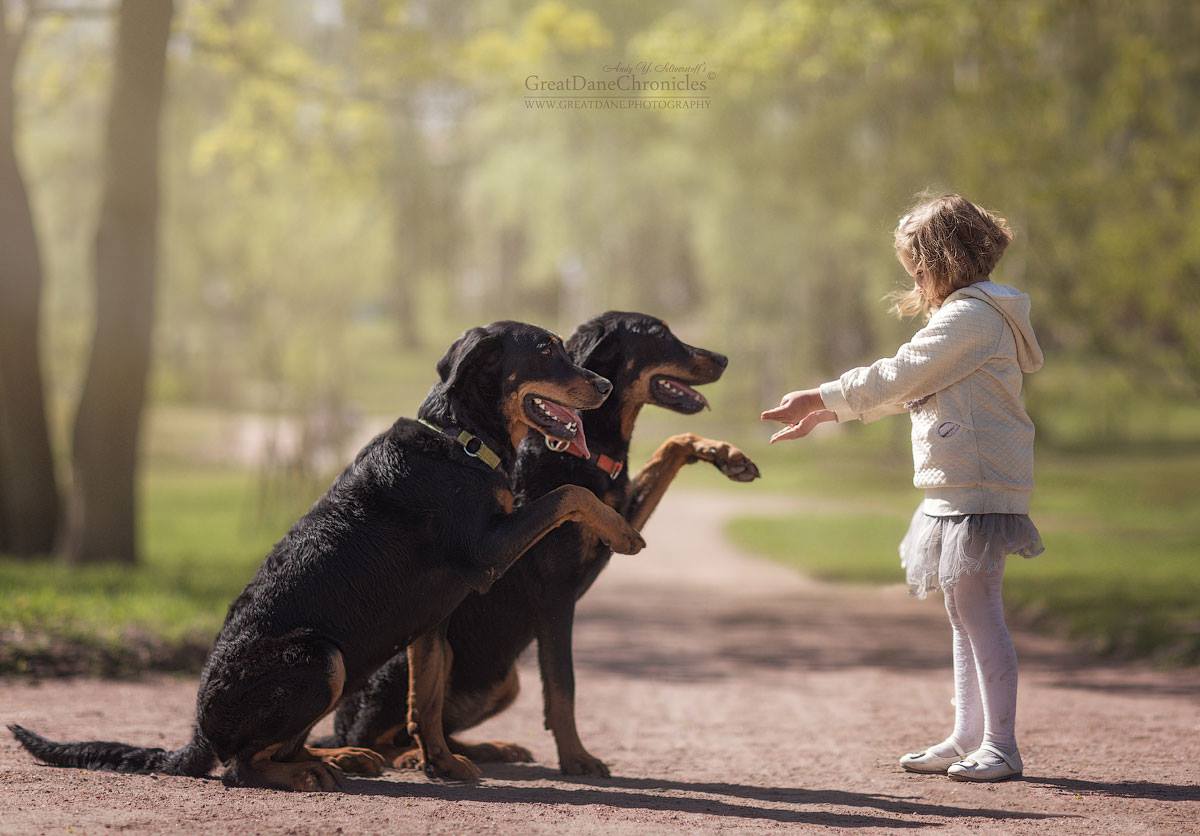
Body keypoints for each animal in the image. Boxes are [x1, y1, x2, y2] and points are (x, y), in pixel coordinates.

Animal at [9, 319, 648, 786]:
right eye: (546, 350)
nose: (605, 387)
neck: (461, 444)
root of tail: (195, 737)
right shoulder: (489, 550)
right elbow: (569, 494)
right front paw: (622, 530)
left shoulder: (433, 621)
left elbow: (426, 700)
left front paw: (441, 764)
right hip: (322, 658)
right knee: (242, 768)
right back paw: (311, 773)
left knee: (285, 747)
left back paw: (339, 758)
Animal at [328, 311, 758, 777]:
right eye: (659, 334)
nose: (723, 358)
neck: (586, 448)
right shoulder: (554, 595)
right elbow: (562, 686)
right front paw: (577, 758)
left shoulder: (617, 516)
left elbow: (671, 447)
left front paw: (727, 455)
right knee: (377, 732)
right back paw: (401, 756)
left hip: (504, 681)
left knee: (436, 725)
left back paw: (488, 748)